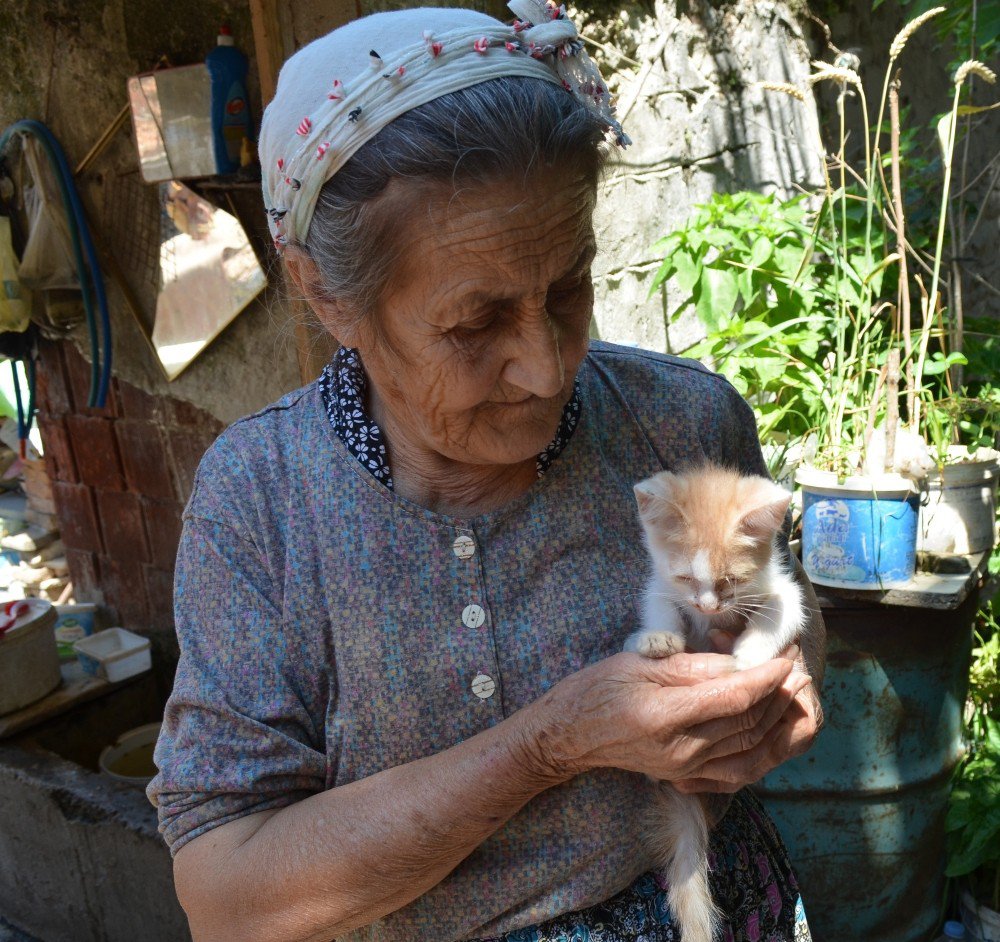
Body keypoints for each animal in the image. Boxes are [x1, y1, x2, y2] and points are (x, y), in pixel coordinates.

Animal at [620, 464, 808, 942]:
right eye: (687, 578)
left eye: (731, 582)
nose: (706, 606)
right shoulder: (662, 586)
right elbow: (659, 603)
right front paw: (656, 637)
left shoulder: (782, 589)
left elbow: (780, 610)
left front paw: (748, 657)